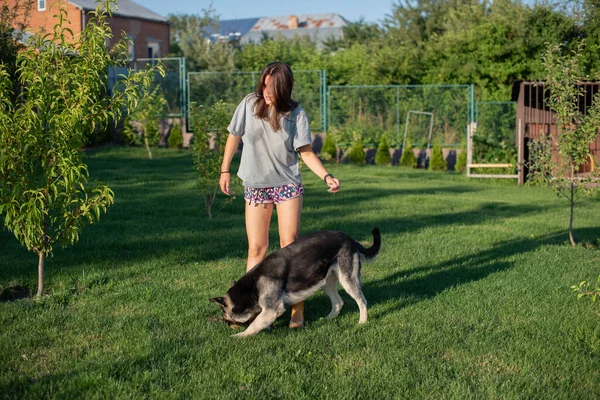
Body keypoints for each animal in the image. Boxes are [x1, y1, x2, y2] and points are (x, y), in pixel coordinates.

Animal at [210, 227, 380, 336]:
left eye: (224, 313)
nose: (225, 323)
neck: (251, 286)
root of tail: (350, 239)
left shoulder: (272, 309)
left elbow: (253, 326)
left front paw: (238, 337)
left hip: (347, 279)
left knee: (362, 301)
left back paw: (362, 322)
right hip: (325, 282)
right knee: (338, 302)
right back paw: (328, 318)